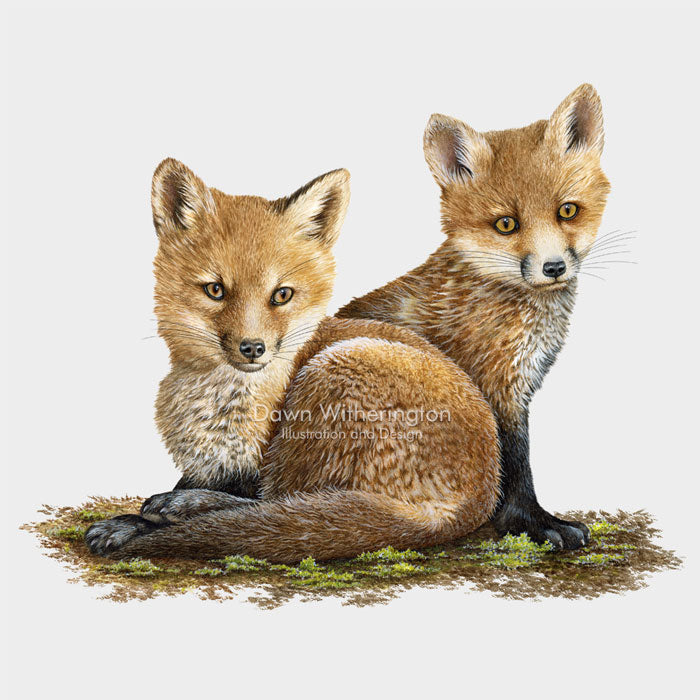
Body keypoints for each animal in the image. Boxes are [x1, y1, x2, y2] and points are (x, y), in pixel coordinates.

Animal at [85, 160, 501, 562]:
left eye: (282, 294)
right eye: (215, 290)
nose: (253, 348)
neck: (220, 408)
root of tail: (480, 496)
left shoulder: (255, 465)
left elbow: (251, 502)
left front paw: (148, 518)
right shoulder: (208, 465)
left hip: (326, 384)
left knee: (277, 506)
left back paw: (180, 508)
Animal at [337, 84, 612, 550]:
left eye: (567, 211)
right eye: (506, 224)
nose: (554, 267)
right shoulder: (496, 390)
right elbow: (516, 468)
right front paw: (534, 524)